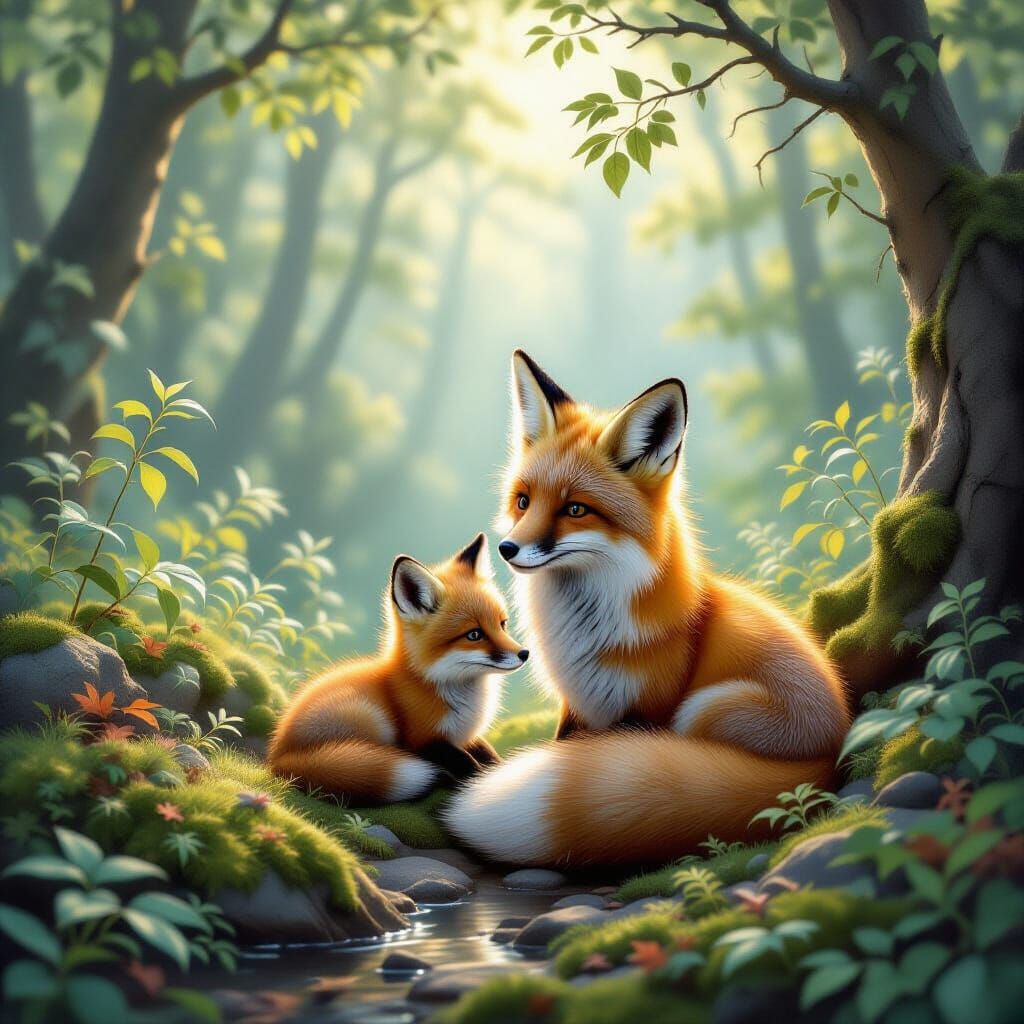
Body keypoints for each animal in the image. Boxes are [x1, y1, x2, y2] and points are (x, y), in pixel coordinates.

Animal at [269, 533, 529, 804]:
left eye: (502, 624)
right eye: (474, 634)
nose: (524, 654)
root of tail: (278, 757)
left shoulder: (465, 737)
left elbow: (489, 755)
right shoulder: (423, 738)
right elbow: (465, 763)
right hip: (371, 716)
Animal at [443, 351, 851, 865]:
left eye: (575, 509)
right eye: (523, 501)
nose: (507, 549)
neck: (587, 627)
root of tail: (833, 756)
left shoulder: (649, 707)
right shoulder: (578, 704)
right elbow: (564, 742)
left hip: (707, 708)